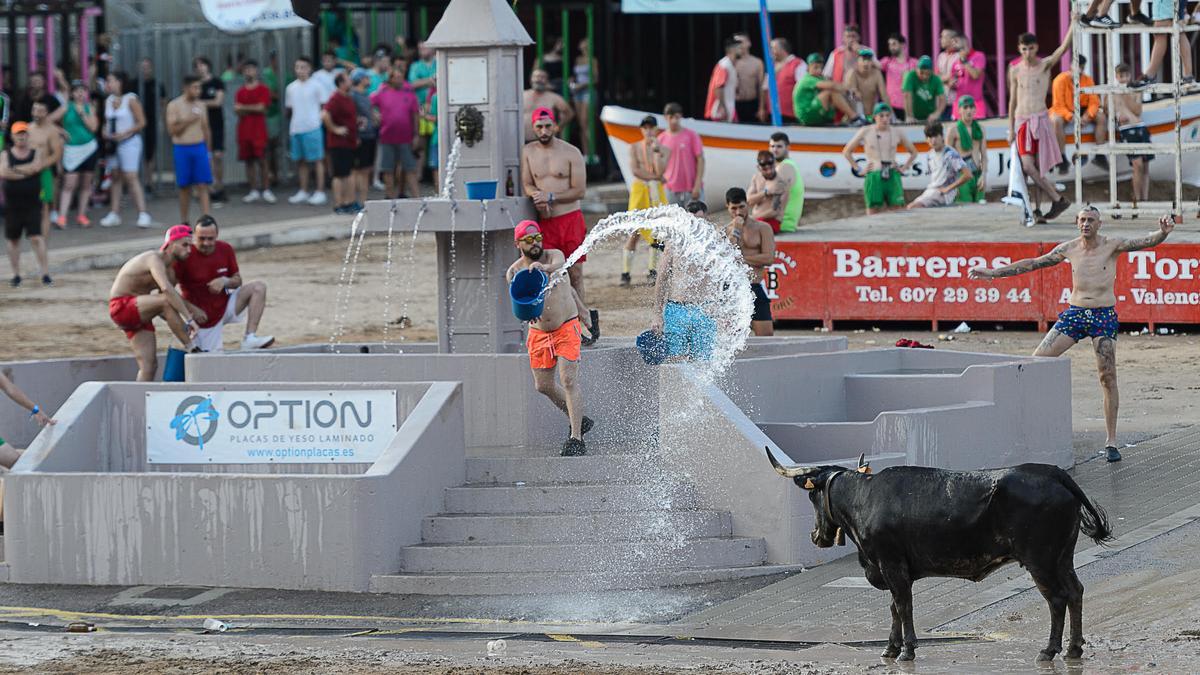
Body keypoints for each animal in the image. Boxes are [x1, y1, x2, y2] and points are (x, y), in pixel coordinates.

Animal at [768, 449, 1113, 658]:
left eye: (812, 496)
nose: (815, 536)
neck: (864, 498)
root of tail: (1052, 473)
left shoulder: (892, 565)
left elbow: (903, 606)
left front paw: (907, 649)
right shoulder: (894, 569)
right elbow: (894, 608)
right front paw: (890, 648)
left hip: (1040, 560)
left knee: (1057, 598)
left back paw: (1050, 650)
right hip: (1062, 558)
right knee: (1075, 591)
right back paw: (1073, 648)